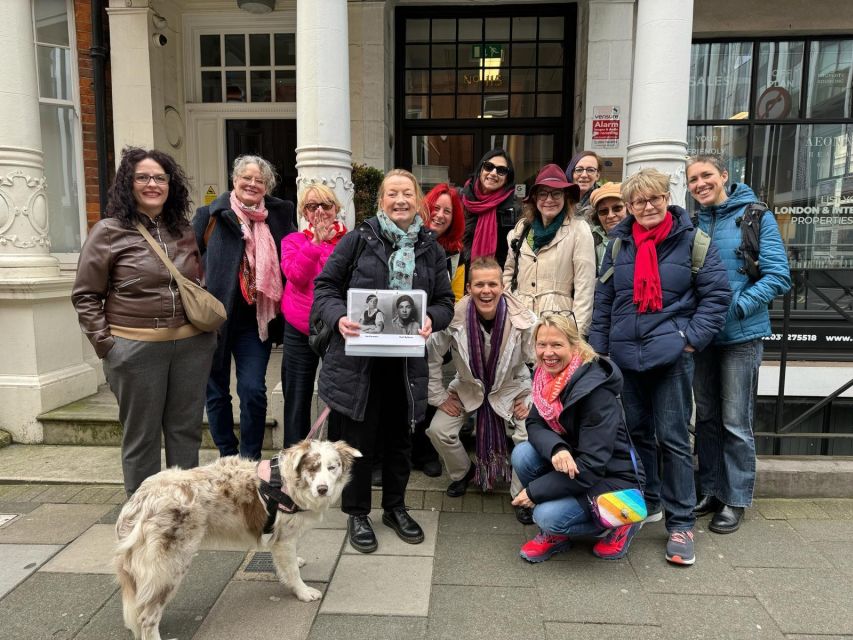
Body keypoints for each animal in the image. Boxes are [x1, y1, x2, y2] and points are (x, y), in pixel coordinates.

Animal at [113, 440, 360, 640]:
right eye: (313, 468)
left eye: (332, 467)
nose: (322, 489)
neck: (289, 483)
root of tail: (140, 500)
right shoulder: (284, 539)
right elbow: (292, 572)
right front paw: (303, 592)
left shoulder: (283, 539)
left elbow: (289, 563)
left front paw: (297, 562)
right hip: (169, 568)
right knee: (147, 617)